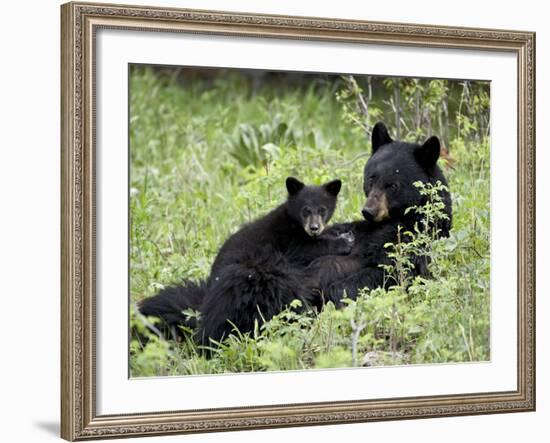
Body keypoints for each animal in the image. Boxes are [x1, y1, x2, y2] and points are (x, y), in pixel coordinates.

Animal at [139, 177, 354, 344]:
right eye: (306, 210)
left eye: (323, 209)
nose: (314, 228)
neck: (295, 224)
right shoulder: (287, 240)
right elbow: (307, 249)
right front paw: (343, 241)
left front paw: (338, 232)